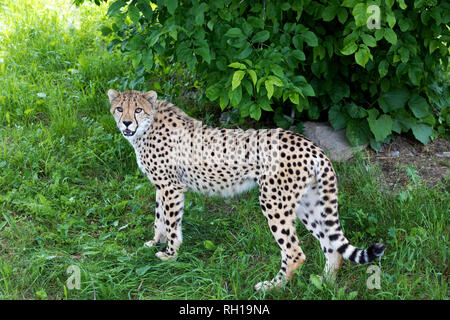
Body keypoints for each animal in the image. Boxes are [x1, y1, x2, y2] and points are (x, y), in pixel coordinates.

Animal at [107, 89, 384, 292]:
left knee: (294, 253)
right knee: (331, 247)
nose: (127, 123)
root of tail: (311, 145)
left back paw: (272, 287)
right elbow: (159, 219)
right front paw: (154, 242)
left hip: (274, 202)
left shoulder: (171, 187)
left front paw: (171, 256)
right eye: (120, 108)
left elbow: (172, 223)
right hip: (309, 203)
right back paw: (323, 285)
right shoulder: (161, 186)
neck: (147, 127)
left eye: (138, 109)